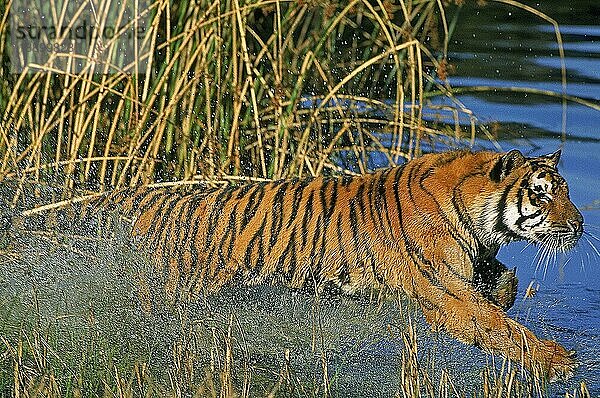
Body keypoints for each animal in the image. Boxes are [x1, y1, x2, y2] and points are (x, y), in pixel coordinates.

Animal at [92, 148, 580, 380]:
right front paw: (559, 362)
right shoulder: (442, 294)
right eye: (542, 194)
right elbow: (500, 328)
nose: (579, 225)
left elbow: (500, 293)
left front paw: (506, 287)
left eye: (568, 191)